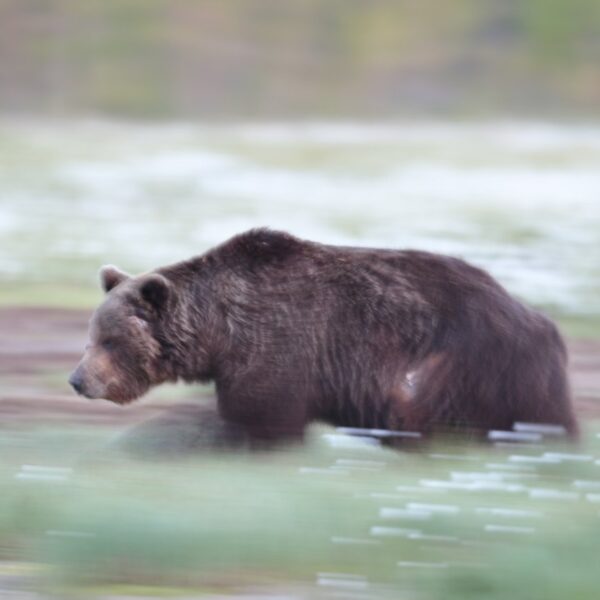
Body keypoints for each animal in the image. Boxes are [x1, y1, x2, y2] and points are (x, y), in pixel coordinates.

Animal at [68, 227, 580, 442]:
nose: (77, 380)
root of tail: (541, 319)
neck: (219, 335)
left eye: (110, 340)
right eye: (91, 336)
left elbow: (261, 419)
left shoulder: (279, 346)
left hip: (472, 364)